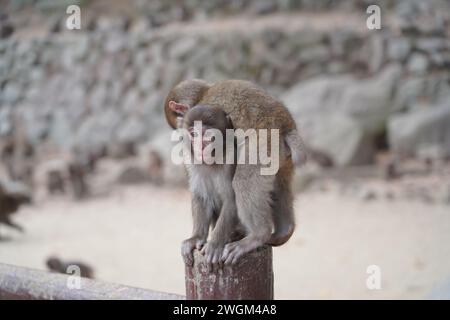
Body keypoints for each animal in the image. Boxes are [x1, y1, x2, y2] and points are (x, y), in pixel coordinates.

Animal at [167, 79, 308, 264]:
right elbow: (202, 195)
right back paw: (285, 230)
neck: (202, 94)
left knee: (244, 180)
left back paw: (257, 235)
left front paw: (215, 243)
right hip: (284, 156)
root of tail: (287, 126)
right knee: (280, 183)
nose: (180, 133)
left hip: (265, 144)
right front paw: (196, 238)